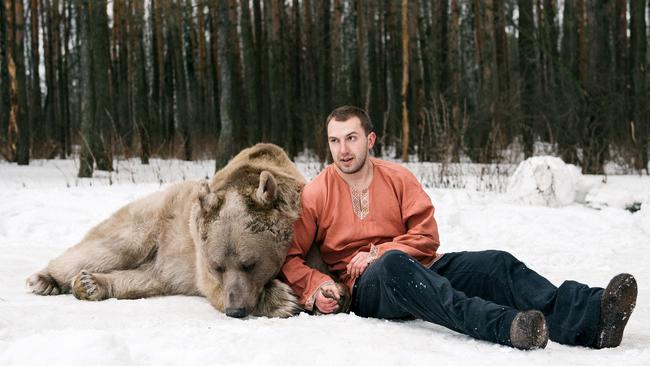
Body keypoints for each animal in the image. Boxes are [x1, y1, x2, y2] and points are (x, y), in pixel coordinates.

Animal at [26, 143, 306, 318]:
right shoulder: (197, 246)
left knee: (147, 279)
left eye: (250, 264)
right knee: (108, 249)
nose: (234, 310)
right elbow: (209, 286)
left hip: (164, 260)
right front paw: (282, 299)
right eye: (216, 267)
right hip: (148, 223)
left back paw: (89, 283)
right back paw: (45, 279)